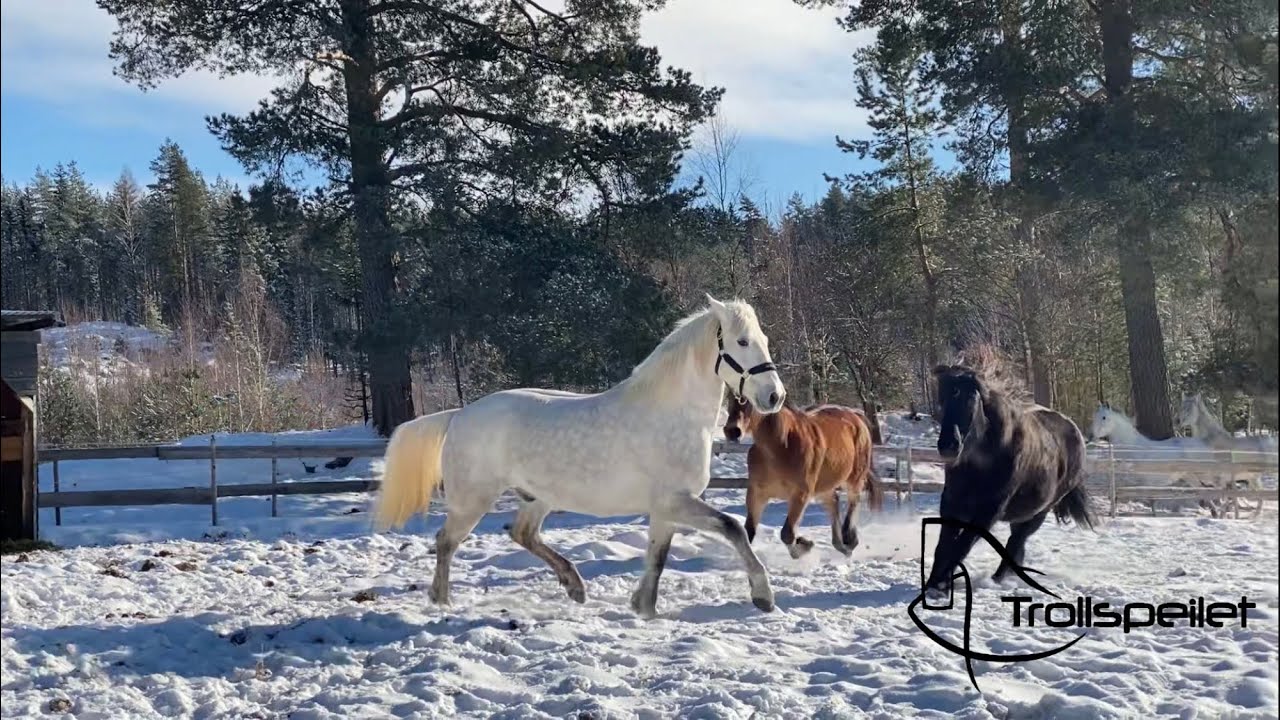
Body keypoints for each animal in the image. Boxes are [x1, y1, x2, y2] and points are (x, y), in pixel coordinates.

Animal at [374, 295, 787, 618]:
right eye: (741, 341)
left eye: (764, 340)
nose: (774, 396)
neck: (669, 414)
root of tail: (459, 415)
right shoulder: (675, 502)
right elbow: (732, 528)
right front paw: (763, 596)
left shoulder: (666, 508)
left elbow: (657, 556)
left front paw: (644, 607)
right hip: (472, 499)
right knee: (446, 541)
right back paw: (443, 601)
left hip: (537, 498)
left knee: (522, 533)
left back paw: (574, 585)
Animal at [722, 397, 883, 559]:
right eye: (730, 396)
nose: (732, 431)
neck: (780, 447)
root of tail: (856, 415)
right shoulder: (757, 494)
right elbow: (748, 532)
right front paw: (804, 542)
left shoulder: (800, 494)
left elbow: (787, 534)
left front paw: (804, 546)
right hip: (825, 485)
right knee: (833, 502)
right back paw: (840, 545)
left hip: (854, 478)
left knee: (854, 501)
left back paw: (849, 539)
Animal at [924, 361, 1096, 596]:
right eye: (942, 400)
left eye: (971, 398)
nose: (949, 446)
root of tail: (1075, 432)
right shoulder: (952, 503)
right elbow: (944, 547)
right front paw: (933, 583)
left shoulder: (989, 510)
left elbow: (961, 545)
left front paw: (941, 583)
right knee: (1017, 544)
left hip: (1039, 512)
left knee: (1015, 542)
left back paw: (998, 579)